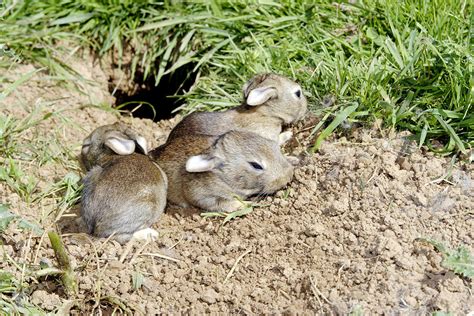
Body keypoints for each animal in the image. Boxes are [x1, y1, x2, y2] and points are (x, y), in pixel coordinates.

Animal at [150, 131, 294, 212]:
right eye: (256, 165)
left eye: (272, 145)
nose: (288, 177)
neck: (224, 178)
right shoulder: (202, 196)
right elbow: (221, 203)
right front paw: (246, 204)